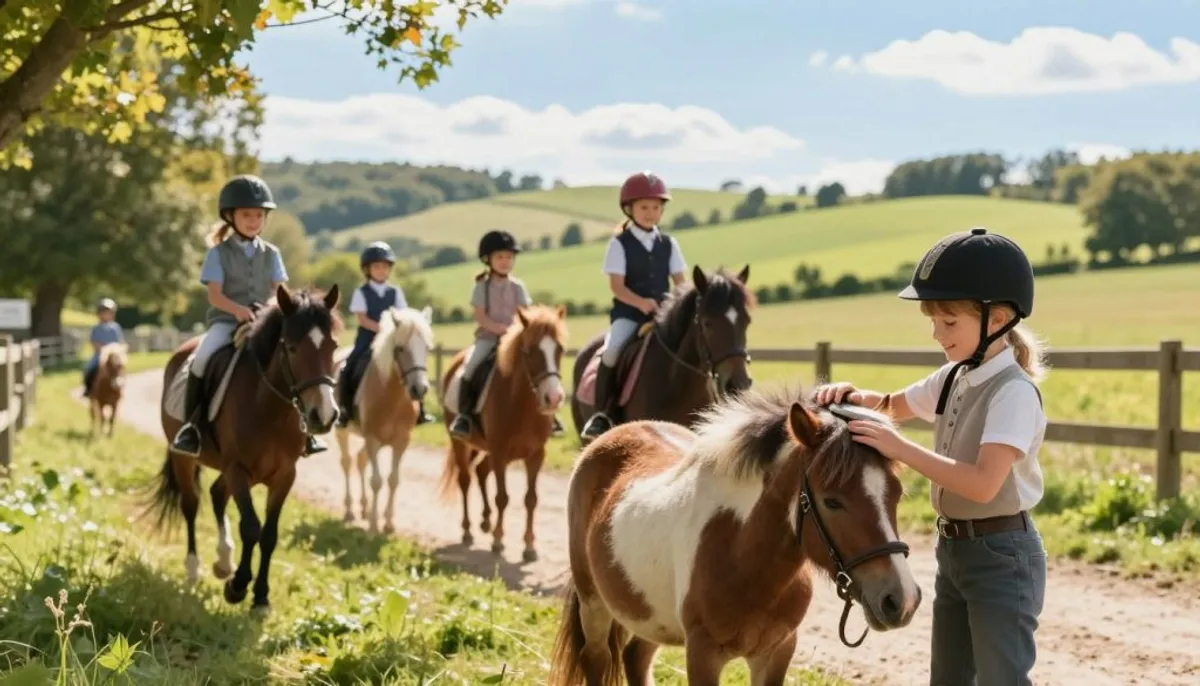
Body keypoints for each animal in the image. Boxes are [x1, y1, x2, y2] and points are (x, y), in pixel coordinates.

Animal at [146, 284, 342, 611]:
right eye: (291, 348)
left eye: (333, 347)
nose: (324, 416)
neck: (270, 408)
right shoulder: (237, 469)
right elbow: (251, 527)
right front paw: (237, 587)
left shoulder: (284, 475)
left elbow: (270, 535)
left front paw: (261, 597)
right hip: (185, 460)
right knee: (191, 504)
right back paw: (194, 569)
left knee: (216, 494)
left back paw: (223, 560)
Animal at [333, 305, 435, 533]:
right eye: (400, 348)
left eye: (426, 348)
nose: (419, 389)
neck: (392, 397)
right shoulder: (372, 439)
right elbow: (377, 481)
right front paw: (373, 526)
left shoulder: (401, 441)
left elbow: (393, 480)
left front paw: (388, 523)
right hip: (343, 432)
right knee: (346, 462)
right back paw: (349, 510)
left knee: (360, 460)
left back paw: (363, 507)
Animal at [437, 303, 569, 563]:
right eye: (529, 351)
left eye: (559, 349)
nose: (553, 398)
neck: (521, 404)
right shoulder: (500, 453)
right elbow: (502, 497)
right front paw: (498, 541)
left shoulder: (535, 455)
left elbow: (531, 499)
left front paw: (529, 547)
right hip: (461, 443)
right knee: (465, 479)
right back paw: (468, 531)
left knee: (480, 471)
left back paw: (485, 521)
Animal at [547, 387, 922, 685]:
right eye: (832, 500)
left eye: (896, 494)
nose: (901, 600)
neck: (744, 556)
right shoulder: (703, 655)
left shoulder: (776, 651)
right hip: (594, 605)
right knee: (597, 659)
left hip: (652, 616)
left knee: (635, 657)